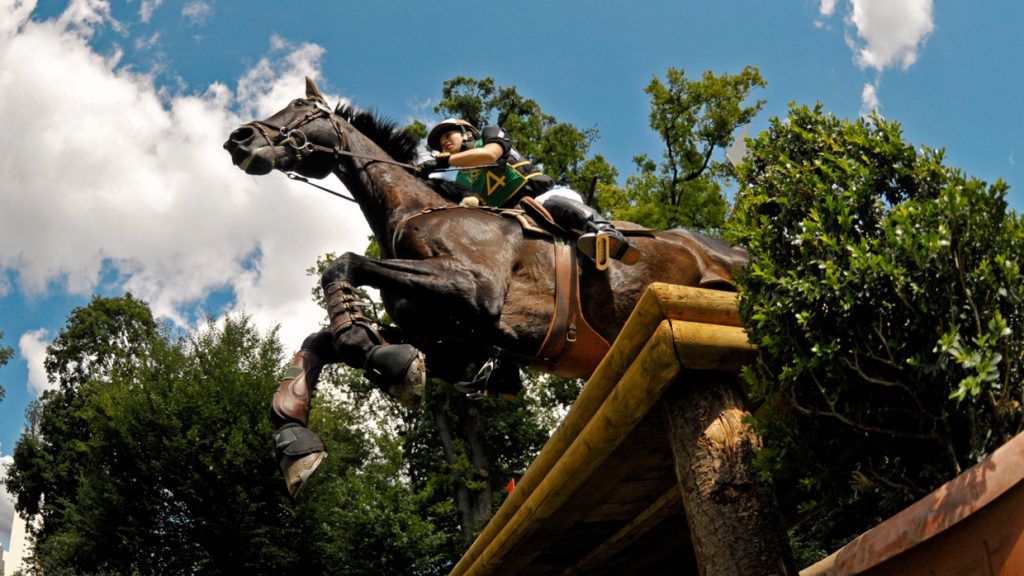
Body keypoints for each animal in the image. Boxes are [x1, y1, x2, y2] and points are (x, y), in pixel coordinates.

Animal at [224, 77, 749, 494]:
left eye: (300, 106)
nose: (238, 138)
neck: (416, 210)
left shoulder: (473, 289)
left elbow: (344, 269)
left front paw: (381, 358)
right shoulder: (451, 344)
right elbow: (321, 340)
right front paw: (296, 444)